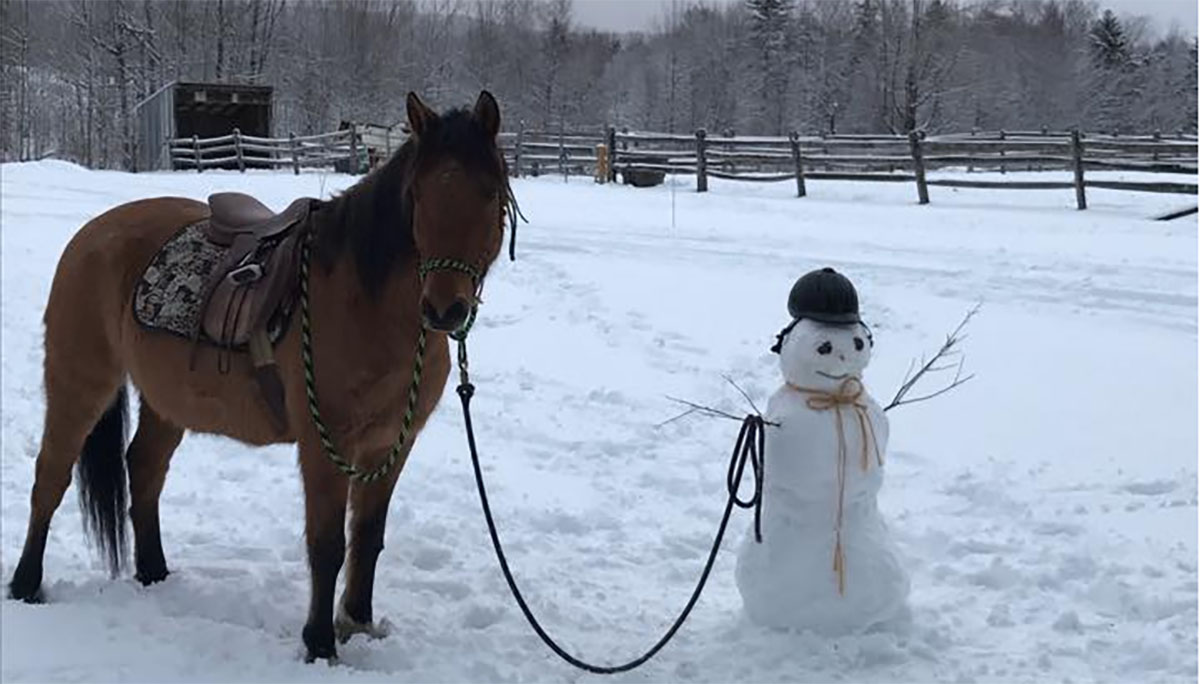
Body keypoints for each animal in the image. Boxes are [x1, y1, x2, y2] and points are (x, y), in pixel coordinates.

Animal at [9, 87, 516, 657]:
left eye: (489, 193)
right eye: (419, 196)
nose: (444, 310)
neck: (367, 302)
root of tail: (92, 234)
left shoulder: (390, 445)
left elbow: (368, 536)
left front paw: (357, 623)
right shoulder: (325, 445)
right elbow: (326, 544)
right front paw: (320, 644)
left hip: (168, 400)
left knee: (144, 468)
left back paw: (154, 573)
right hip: (80, 383)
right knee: (51, 476)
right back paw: (27, 585)